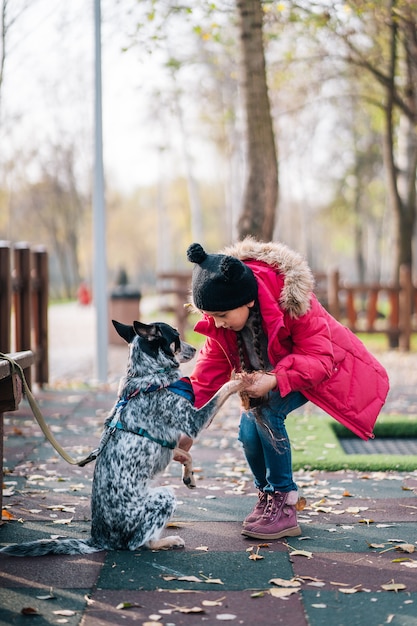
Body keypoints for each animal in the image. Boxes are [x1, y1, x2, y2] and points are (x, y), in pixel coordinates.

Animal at [1, 320, 245, 552]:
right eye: (175, 336)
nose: (195, 348)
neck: (148, 376)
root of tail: (98, 540)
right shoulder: (193, 421)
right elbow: (221, 392)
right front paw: (240, 381)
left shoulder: (168, 445)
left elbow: (186, 454)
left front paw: (189, 476)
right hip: (164, 496)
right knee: (138, 543)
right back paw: (167, 541)